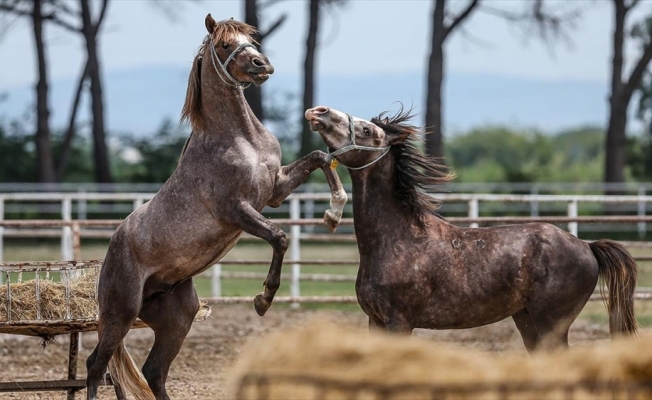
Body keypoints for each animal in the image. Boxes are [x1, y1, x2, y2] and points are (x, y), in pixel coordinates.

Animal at [85, 16, 346, 400]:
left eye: (251, 39)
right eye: (224, 45)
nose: (262, 65)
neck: (241, 140)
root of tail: (112, 250)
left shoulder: (276, 190)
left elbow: (320, 158)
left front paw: (335, 211)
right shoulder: (236, 209)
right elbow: (280, 237)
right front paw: (263, 299)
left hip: (178, 318)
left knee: (152, 371)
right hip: (121, 313)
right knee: (96, 365)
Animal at [306, 105, 636, 354]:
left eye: (367, 131)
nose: (319, 111)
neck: (397, 238)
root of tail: (587, 246)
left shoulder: (398, 322)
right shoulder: (375, 321)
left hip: (550, 323)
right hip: (526, 319)